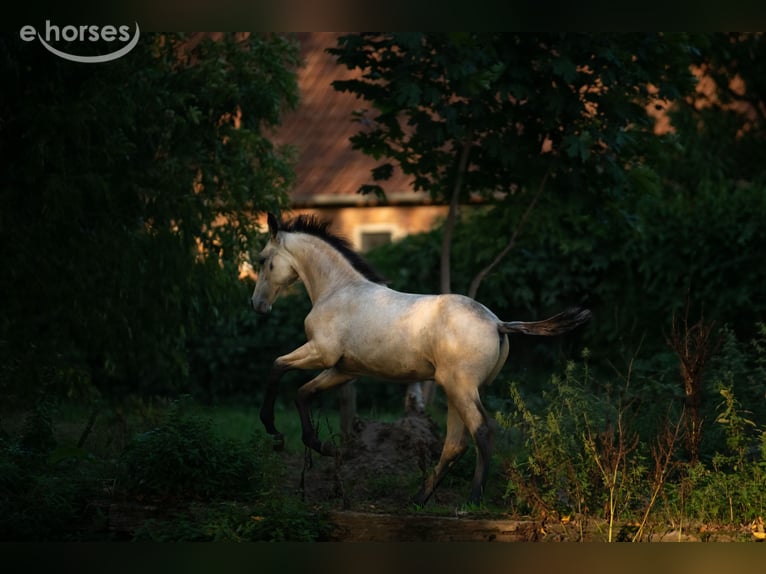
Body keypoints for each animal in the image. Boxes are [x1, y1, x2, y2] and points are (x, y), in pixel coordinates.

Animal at [252, 212, 591, 505]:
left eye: (263, 260)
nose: (257, 305)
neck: (338, 290)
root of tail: (498, 323)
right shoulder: (343, 370)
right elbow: (302, 393)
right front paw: (323, 445)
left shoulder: (321, 353)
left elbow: (276, 367)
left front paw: (274, 432)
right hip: (457, 390)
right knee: (455, 443)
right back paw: (419, 498)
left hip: (461, 388)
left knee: (481, 431)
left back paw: (472, 500)